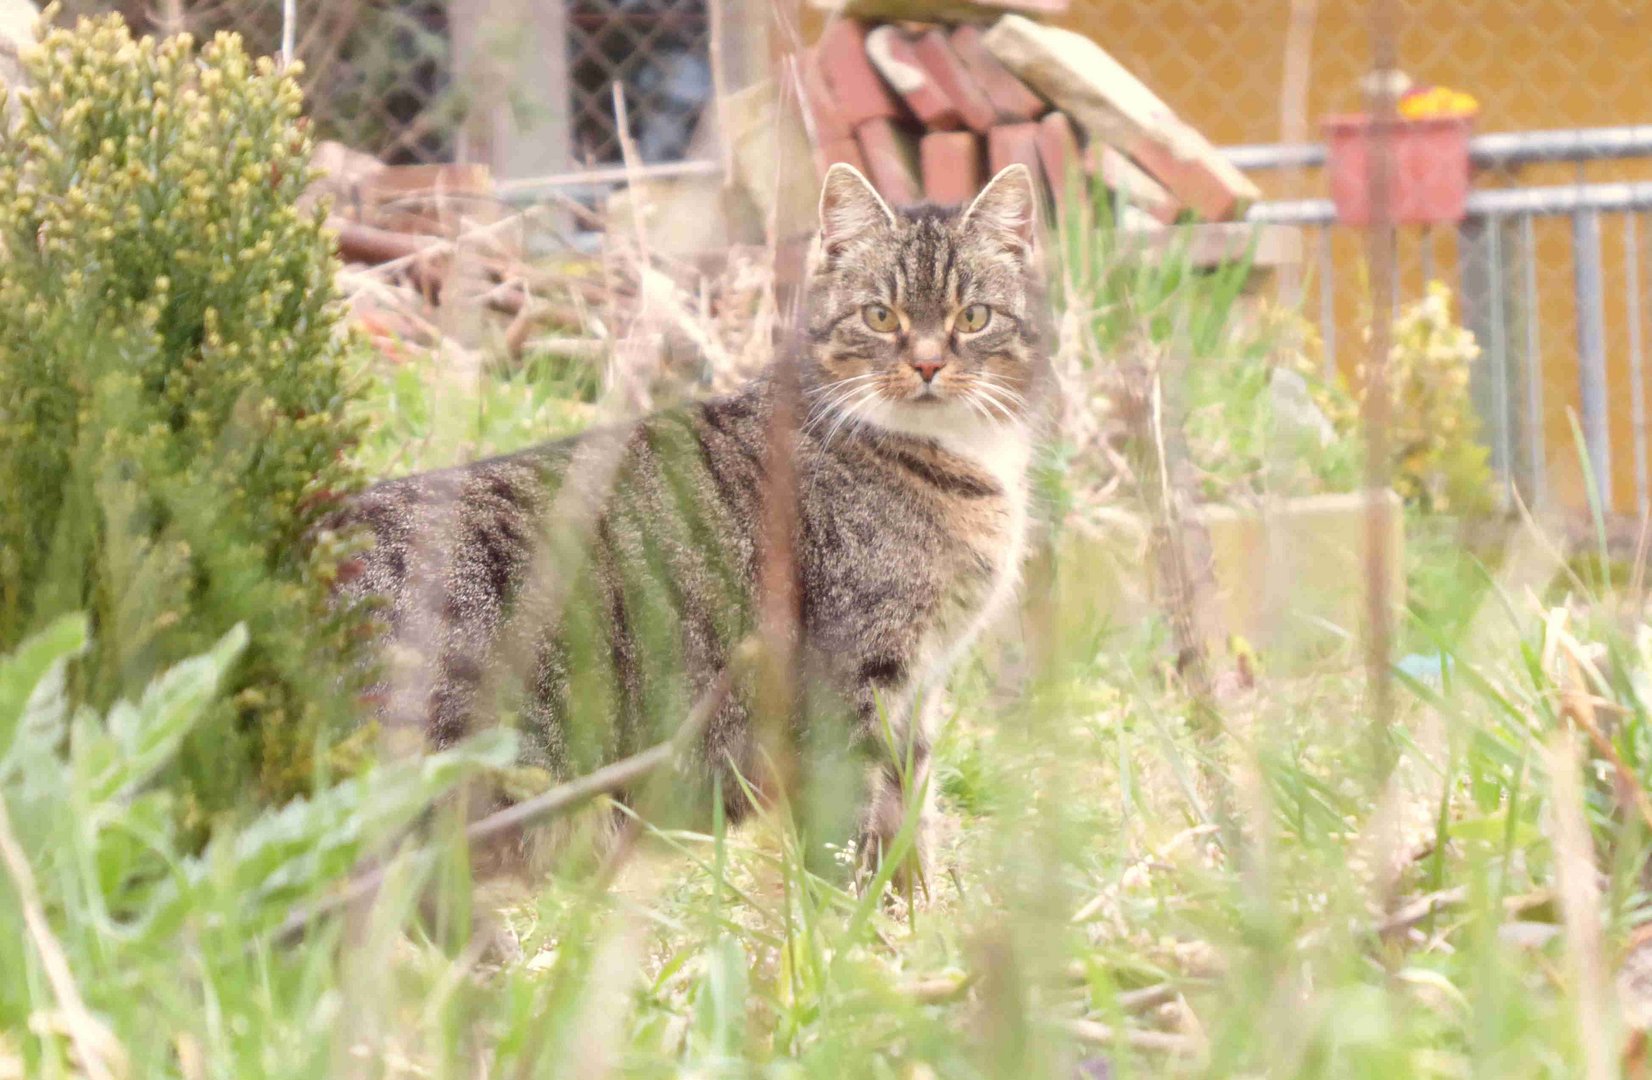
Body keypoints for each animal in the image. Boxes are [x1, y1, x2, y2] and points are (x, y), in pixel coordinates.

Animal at [341, 162, 1050, 878]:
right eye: (880, 316)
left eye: (973, 316)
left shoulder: (920, 689)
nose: (929, 364)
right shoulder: (848, 685)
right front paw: (843, 903)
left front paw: (908, 904)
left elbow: (909, 824)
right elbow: (845, 831)